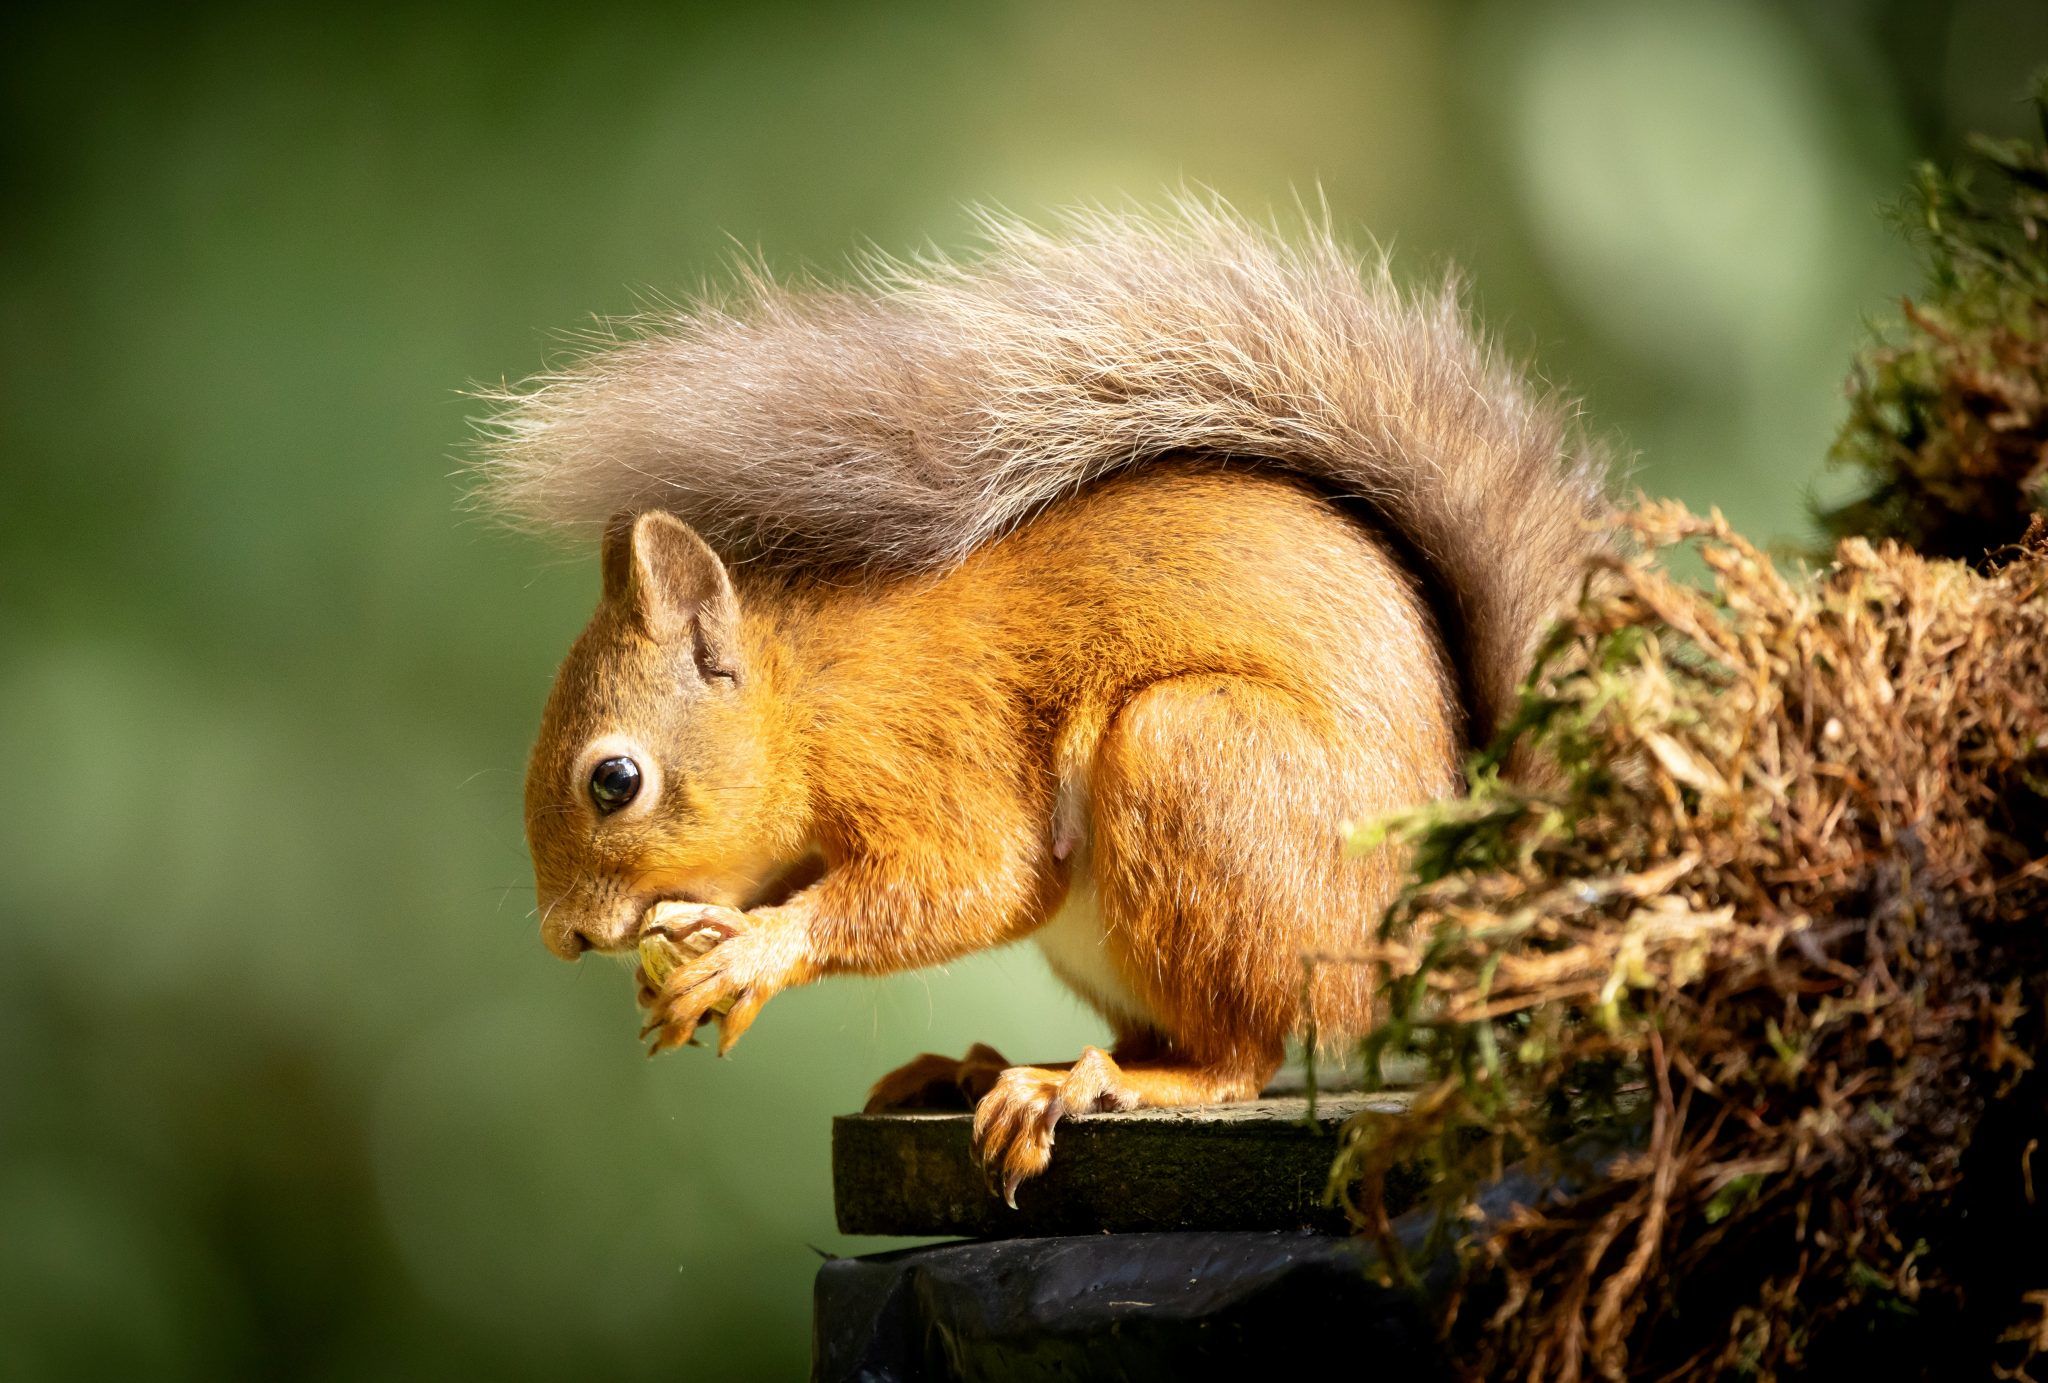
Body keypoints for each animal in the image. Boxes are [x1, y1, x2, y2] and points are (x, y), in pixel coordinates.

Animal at [479, 205, 1597, 1204]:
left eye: (614, 780)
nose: (567, 937)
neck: (808, 701)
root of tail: (1435, 911)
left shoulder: (930, 749)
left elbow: (977, 879)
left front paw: (755, 950)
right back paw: (991, 1068)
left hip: (1189, 759)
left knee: (1240, 1052)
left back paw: (1103, 1084)